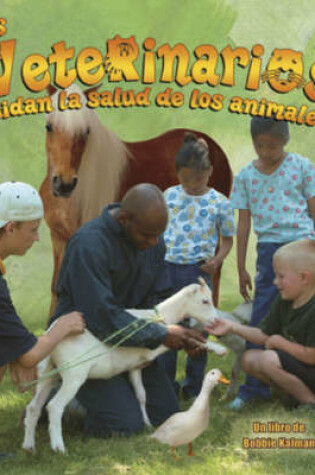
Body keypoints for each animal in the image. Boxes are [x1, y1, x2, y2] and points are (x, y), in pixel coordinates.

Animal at [22, 278, 227, 454]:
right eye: (205, 301)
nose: (216, 321)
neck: (158, 317)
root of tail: (51, 337)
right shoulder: (154, 347)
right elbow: (190, 337)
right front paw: (218, 348)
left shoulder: (135, 367)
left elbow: (141, 396)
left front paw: (147, 424)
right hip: (74, 374)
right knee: (54, 407)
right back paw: (58, 447)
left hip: (49, 372)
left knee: (33, 408)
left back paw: (29, 446)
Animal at [40, 85, 233, 314]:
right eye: (49, 127)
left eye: (86, 132)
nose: (64, 184)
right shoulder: (59, 237)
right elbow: (55, 286)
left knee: (214, 272)